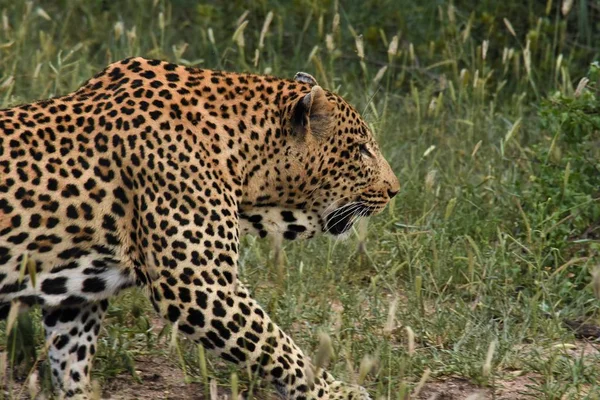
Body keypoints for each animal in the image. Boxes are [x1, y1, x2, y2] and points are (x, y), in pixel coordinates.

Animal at [1, 57, 404, 400]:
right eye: (361, 150)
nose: (395, 190)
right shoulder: (198, 284)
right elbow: (277, 345)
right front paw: (336, 392)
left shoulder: (77, 297)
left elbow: (72, 359)